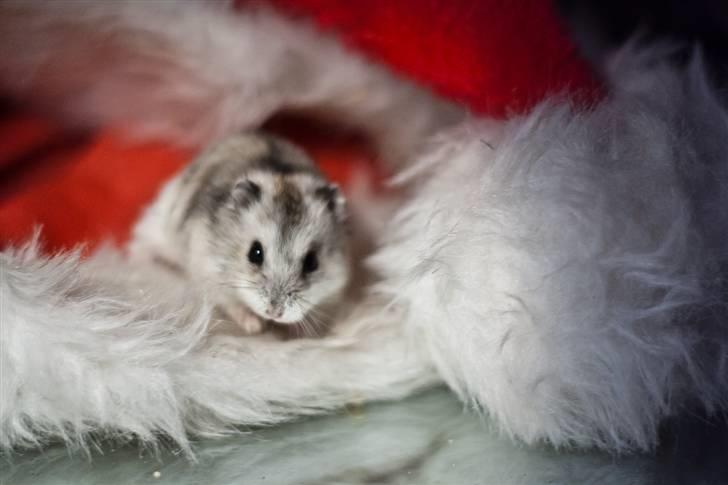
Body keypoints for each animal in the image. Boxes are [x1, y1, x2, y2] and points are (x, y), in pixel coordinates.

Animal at [129, 133, 351, 335]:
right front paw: (255, 327)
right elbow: (232, 304)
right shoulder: (208, 270)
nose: (274, 313)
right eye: (255, 253)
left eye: (312, 263)